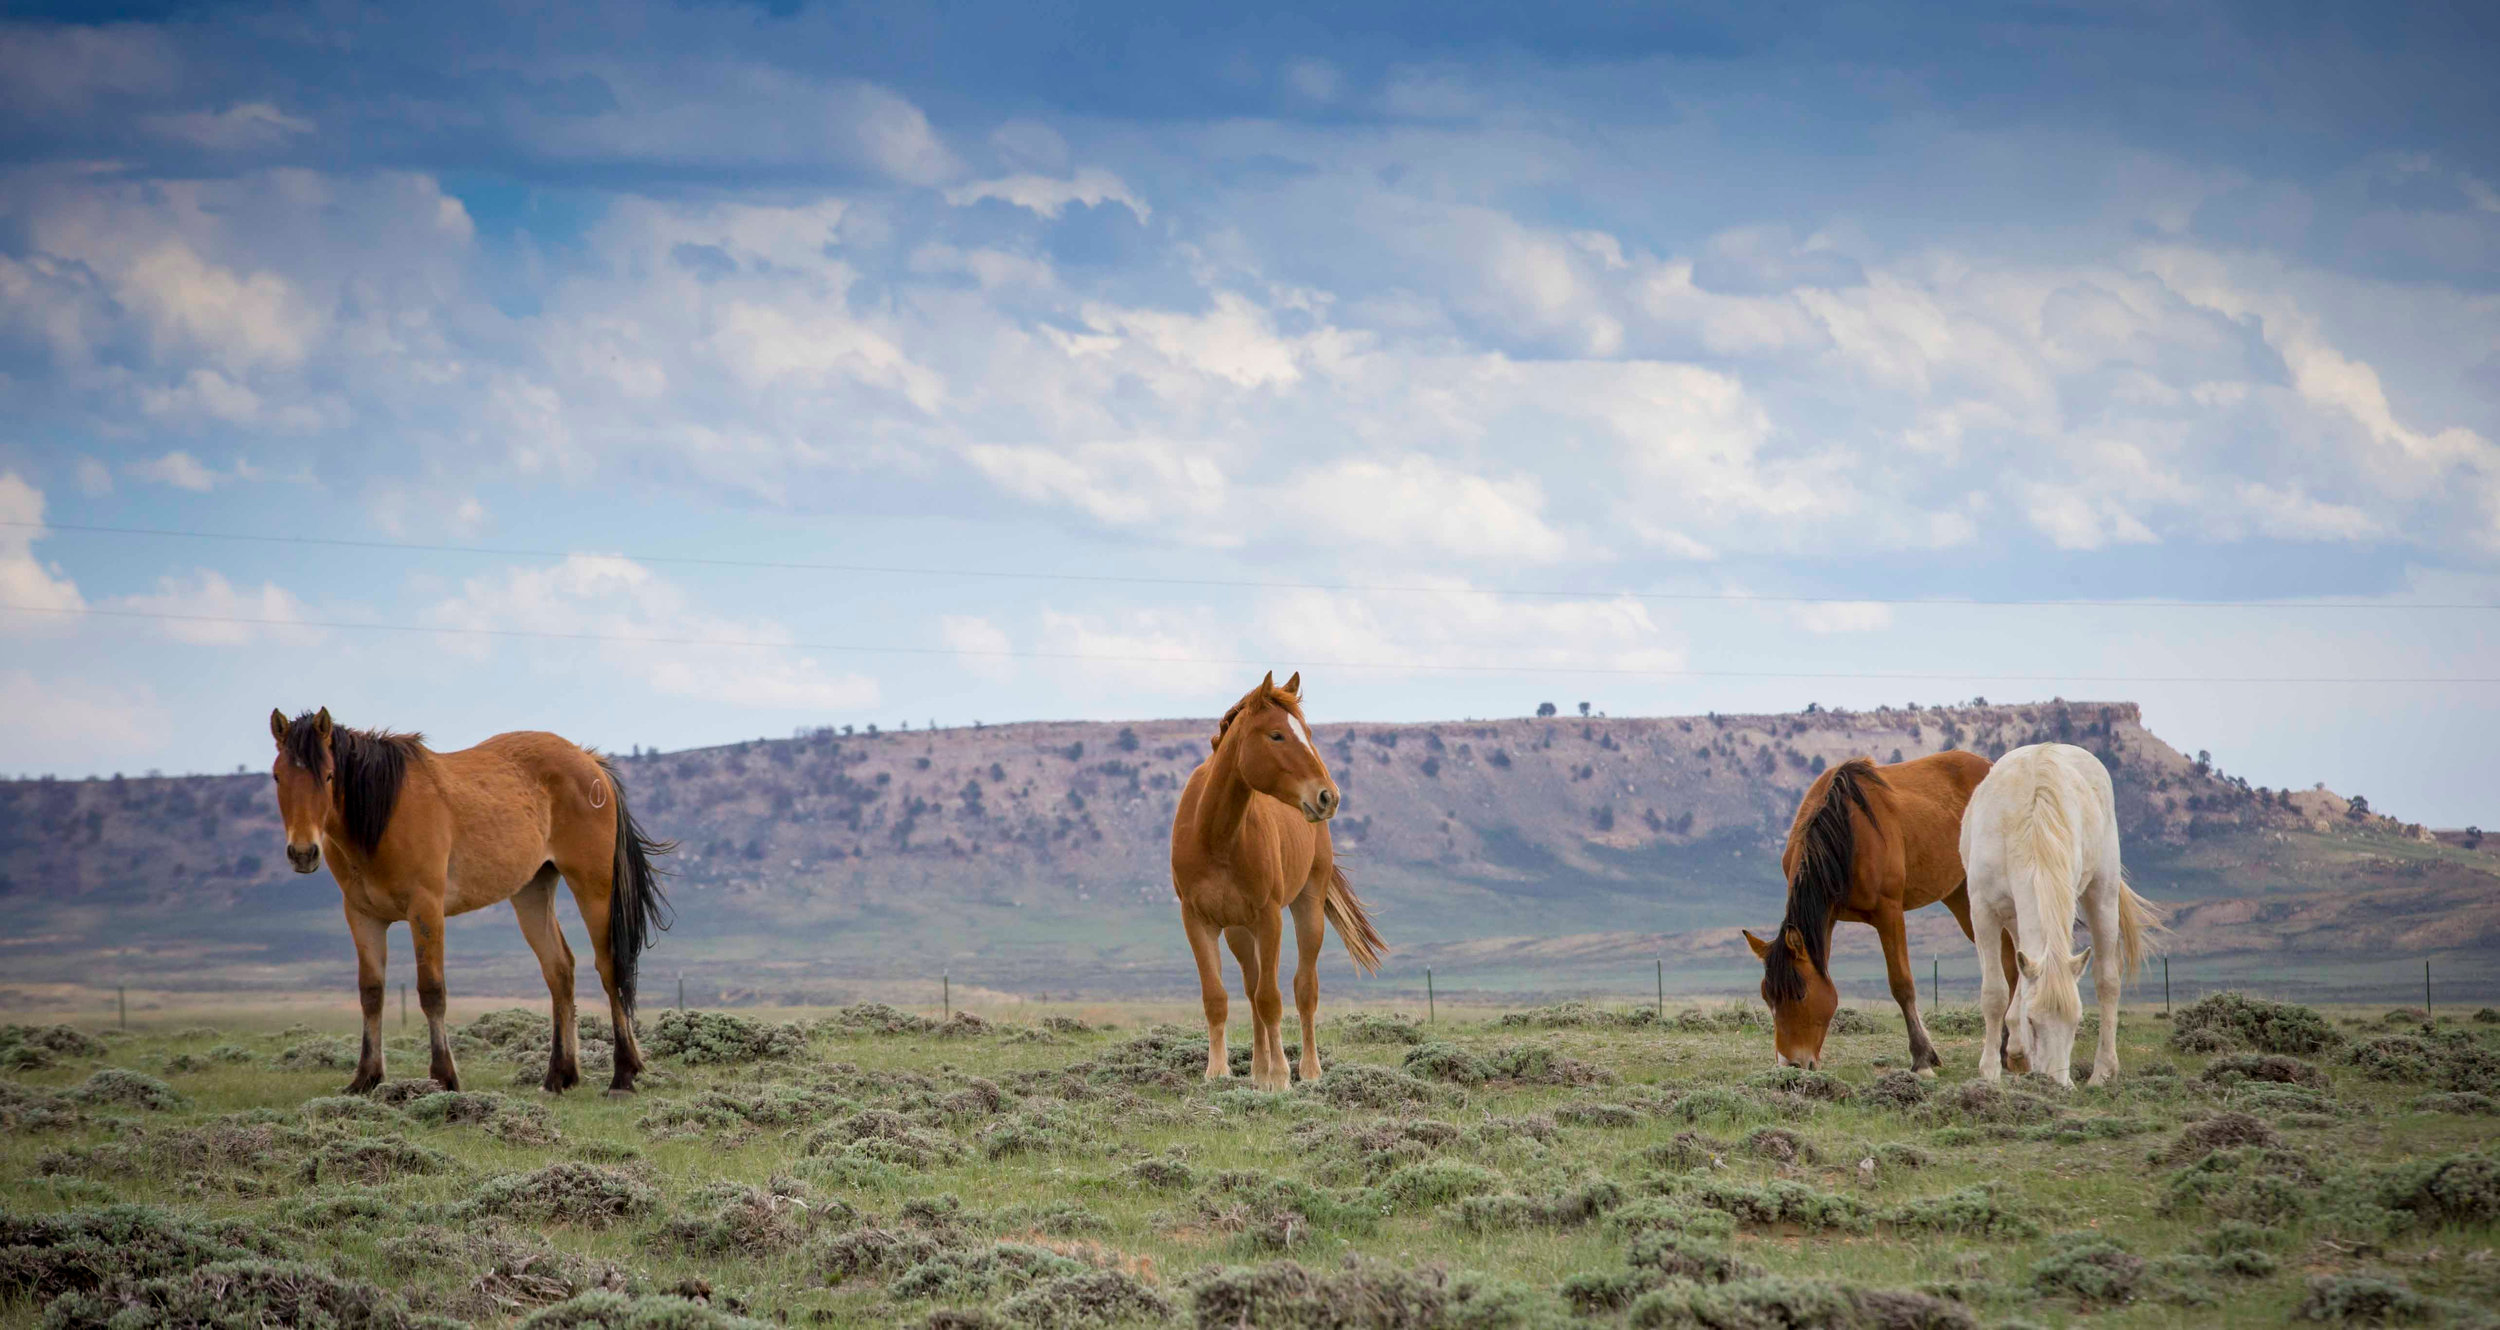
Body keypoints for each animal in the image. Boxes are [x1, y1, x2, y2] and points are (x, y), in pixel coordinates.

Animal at [271, 710, 675, 1095]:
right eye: (277, 777)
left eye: (328, 775)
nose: (303, 852)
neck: (383, 816)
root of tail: (589, 762)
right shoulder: (362, 916)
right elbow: (371, 993)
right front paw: (365, 1078)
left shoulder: (426, 910)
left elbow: (432, 991)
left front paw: (443, 1078)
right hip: (532, 890)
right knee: (559, 970)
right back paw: (557, 1077)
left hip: (592, 887)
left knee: (610, 968)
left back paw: (622, 1076)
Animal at [1170, 675, 1390, 1090]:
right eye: (1276, 735)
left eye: (1307, 733)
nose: (1328, 796)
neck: (1216, 835)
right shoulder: (1197, 920)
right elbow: (1218, 998)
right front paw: (1219, 1071)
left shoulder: (1269, 917)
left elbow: (1272, 998)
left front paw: (1280, 1076)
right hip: (1239, 931)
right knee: (1251, 988)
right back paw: (1257, 1068)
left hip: (1307, 909)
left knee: (1303, 989)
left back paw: (1309, 1070)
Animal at [1750, 755, 2020, 1075]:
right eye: (1767, 996)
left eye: (1800, 994)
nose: (1790, 1063)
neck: (1846, 834)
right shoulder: (1829, 917)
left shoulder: (1889, 912)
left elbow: (1902, 984)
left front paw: (1922, 1058)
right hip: (1959, 896)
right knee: (2007, 962)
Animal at [1960, 745, 2160, 1085]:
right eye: (2032, 1022)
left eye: (2077, 1022)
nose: (2056, 1084)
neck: (2027, 826)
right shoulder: (1983, 911)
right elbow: (1995, 992)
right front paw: (1990, 1071)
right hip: (2015, 918)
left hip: (2102, 895)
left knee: (2108, 980)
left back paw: (2103, 1071)